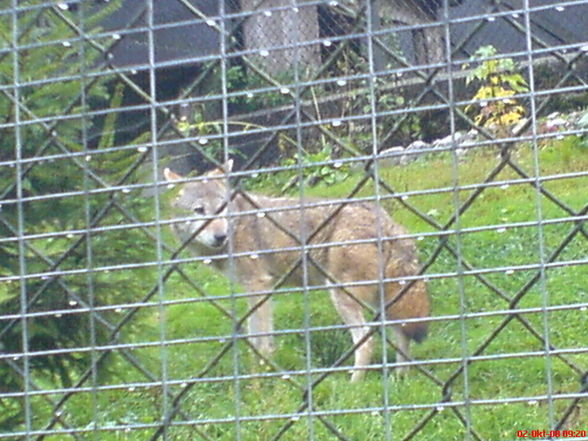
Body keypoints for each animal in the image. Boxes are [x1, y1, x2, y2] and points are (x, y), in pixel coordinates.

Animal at [163, 160, 430, 380]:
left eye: (221, 208)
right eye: (199, 210)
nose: (221, 236)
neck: (238, 224)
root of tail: (387, 222)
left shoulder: (258, 285)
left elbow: (259, 341)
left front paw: (259, 378)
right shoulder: (258, 288)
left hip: (340, 294)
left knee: (367, 340)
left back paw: (354, 385)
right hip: (382, 299)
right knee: (401, 335)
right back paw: (400, 379)